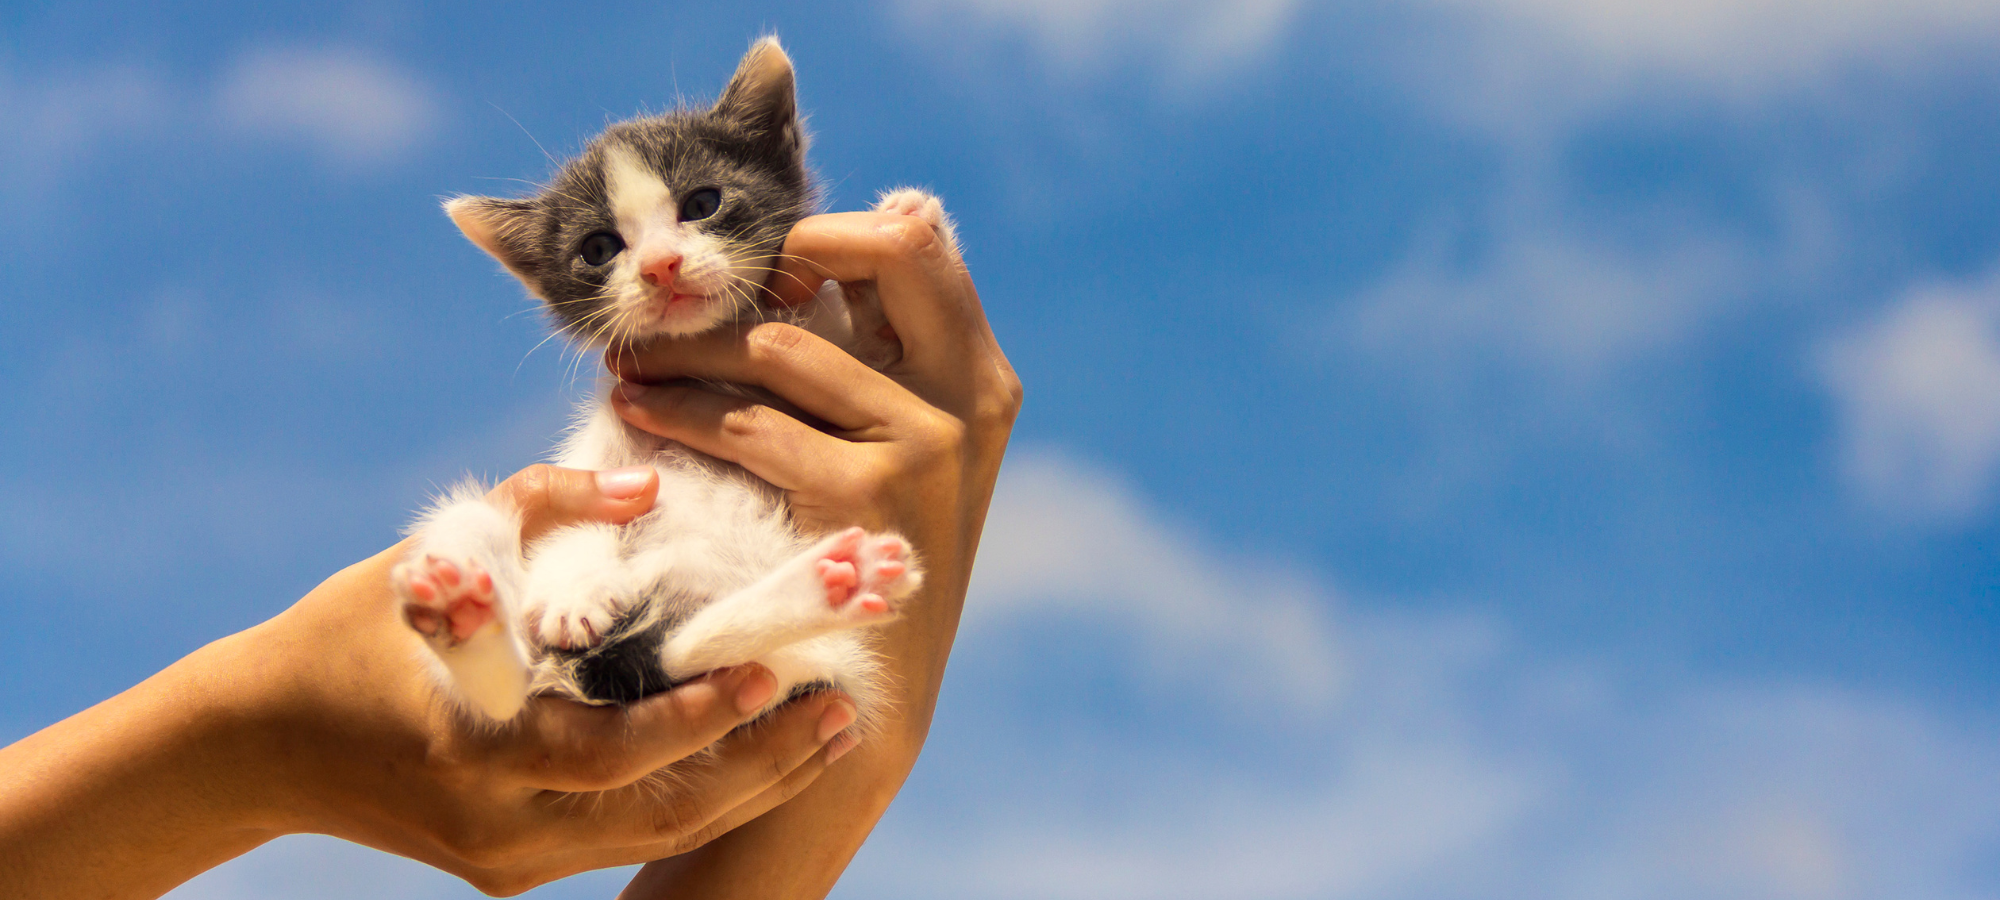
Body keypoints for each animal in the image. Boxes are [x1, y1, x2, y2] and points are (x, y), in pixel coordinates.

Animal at [390, 38, 960, 740]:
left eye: (702, 204)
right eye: (599, 248)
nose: (661, 266)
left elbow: (876, 341)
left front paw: (910, 219)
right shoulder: (603, 458)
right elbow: (579, 516)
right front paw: (575, 591)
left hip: (793, 670)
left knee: (708, 652)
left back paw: (834, 585)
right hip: (473, 537)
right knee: (511, 689)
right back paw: (462, 610)